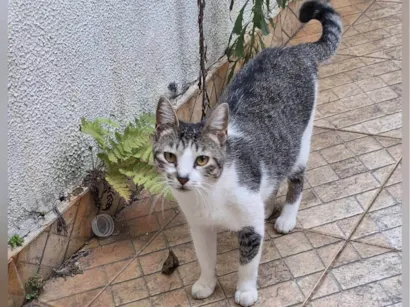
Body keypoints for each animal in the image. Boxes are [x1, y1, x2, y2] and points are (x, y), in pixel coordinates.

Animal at [152, 1, 342, 306]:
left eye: (202, 160)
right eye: (170, 157)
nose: (181, 178)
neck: (209, 196)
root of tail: (293, 51)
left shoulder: (250, 225)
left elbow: (248, 260)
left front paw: (245, 290)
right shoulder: (200, 226)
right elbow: (205, 257)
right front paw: (206, 283)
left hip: (300, 141)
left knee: (296, 179)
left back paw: (286, 217)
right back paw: (268, 205)